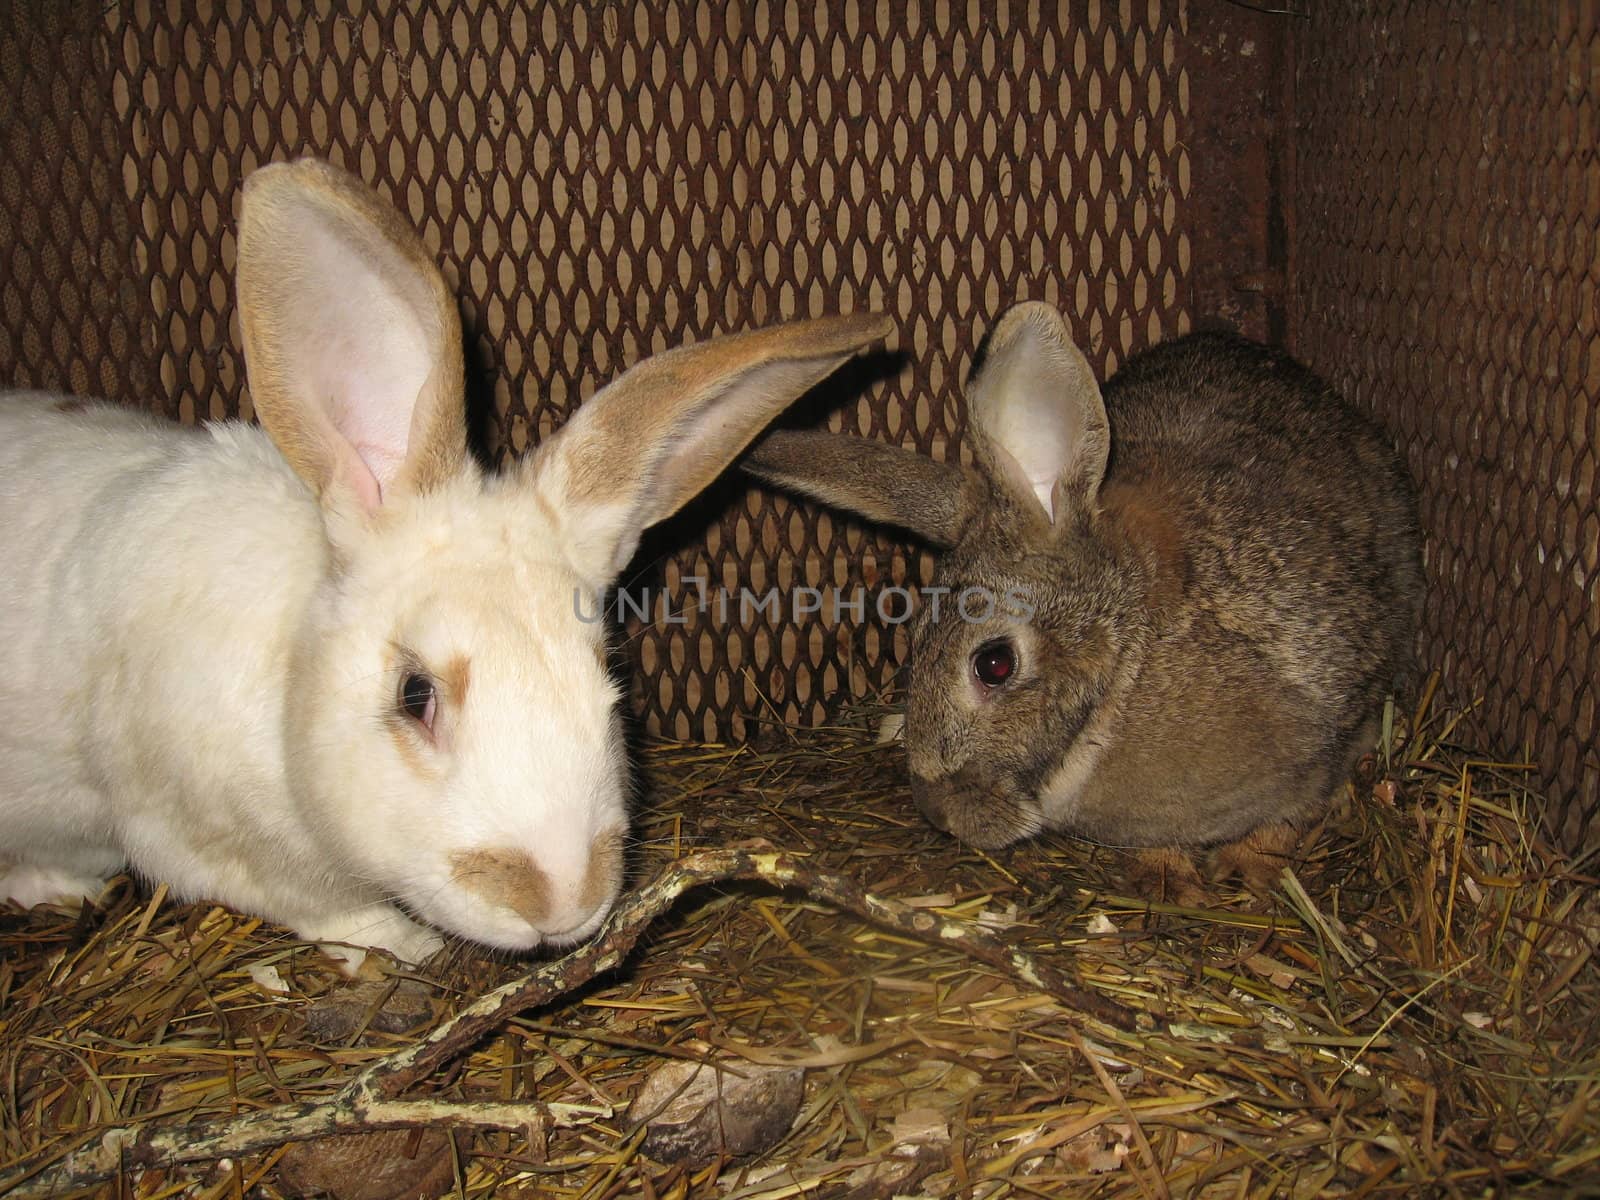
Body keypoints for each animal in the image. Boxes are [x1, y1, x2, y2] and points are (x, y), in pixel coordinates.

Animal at [0, 157, 889, 966]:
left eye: (606, 673)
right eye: (414, 694)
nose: (560, 900)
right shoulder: (200, 838)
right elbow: (334, 912)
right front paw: (408, 948)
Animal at [742, 300, 1420, 902]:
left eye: (994, 664)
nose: (940, 813)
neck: (1132, 659)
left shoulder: (1337, 715)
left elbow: (1293, 812)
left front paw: (1247, 871)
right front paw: (1164, 880)